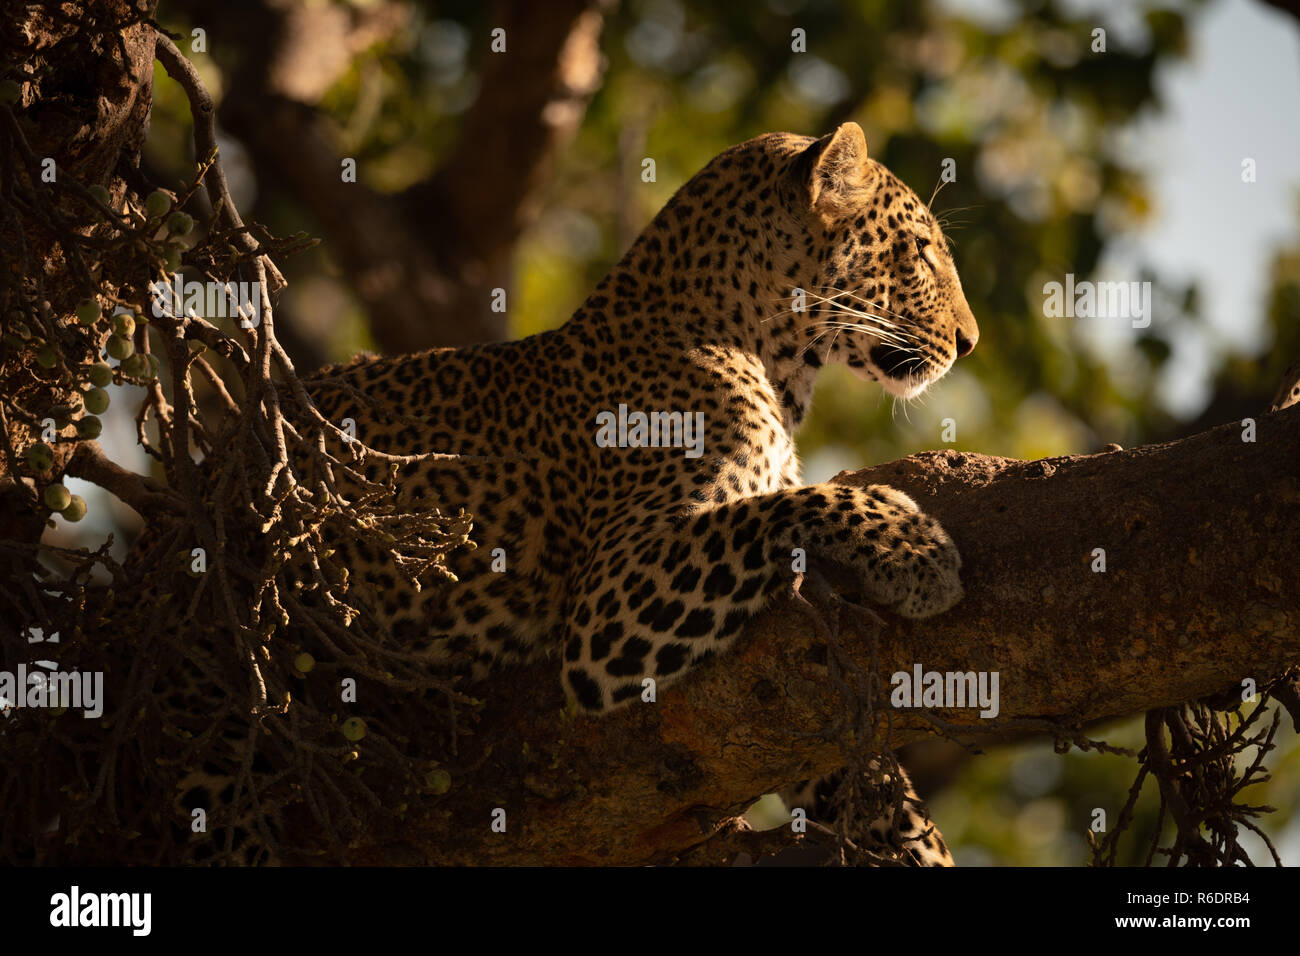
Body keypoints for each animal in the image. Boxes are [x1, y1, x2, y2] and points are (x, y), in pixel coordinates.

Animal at [178, 121, 978, 866]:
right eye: (922, 251)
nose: (969, 342)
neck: (769, 357)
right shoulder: (611, 608)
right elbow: (780, 507)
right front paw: (912, 548)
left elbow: (861, 770)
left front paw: (916, 842)